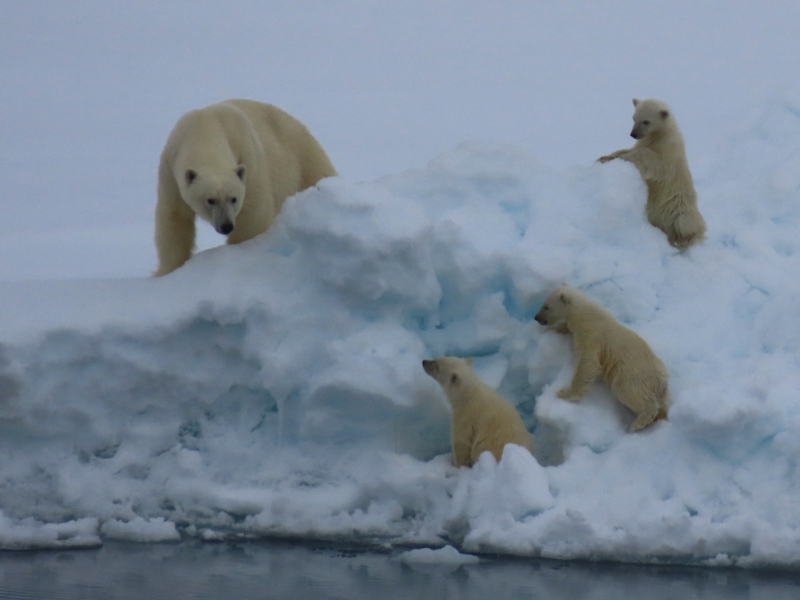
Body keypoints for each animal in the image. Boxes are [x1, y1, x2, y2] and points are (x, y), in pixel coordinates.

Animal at [155, 99, 336, 276]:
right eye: (210, 200)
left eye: (234, 199)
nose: (226, 226)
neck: (205, 129)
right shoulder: (170, 172)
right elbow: (174, 218)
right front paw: (167, 270)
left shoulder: (248, 157)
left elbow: (252, 213)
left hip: (303, 157)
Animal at [536, 286, 672, 432]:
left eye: (546, 306)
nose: (536, 318)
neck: (588, 315)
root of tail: (661, 381)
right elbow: (565, 328)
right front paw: (547, 331)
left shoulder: (592, 337)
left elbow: (588, 363)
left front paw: (565, 393)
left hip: (633, 376)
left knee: (629, 392)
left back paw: (636, 424)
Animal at [596, 99, 704, 250]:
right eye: (634, 118)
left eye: (646, 121)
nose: (633, 134)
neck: (659, 134)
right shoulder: (645, 141)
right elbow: (627, 149)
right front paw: (604, 158)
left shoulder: (667, 151)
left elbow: (650, 158)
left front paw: (623, 157)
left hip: (680, 207)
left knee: (685, 223)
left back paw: (685, 240)